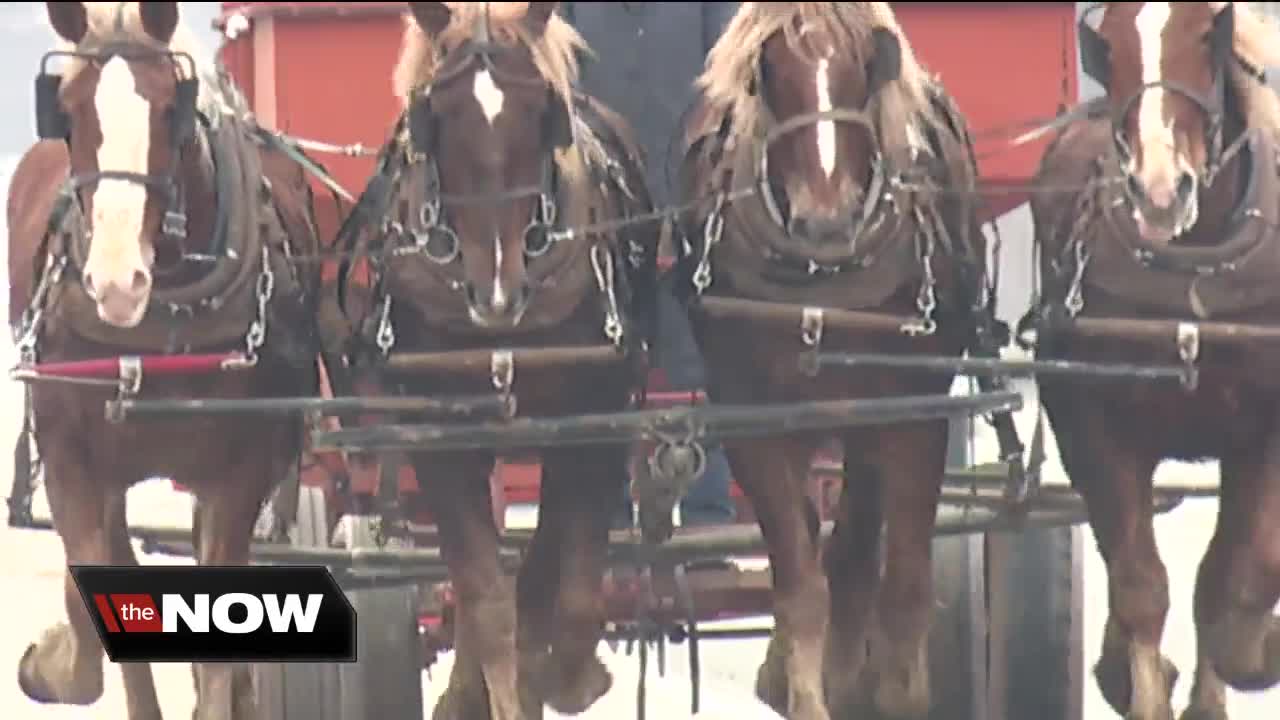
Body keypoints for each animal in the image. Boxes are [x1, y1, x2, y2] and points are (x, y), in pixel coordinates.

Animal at [7, 1, 325, 717]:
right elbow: (89, 626)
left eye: (170, 112)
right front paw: (51, 661)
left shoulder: (240, 471)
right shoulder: (72, 461)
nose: (117, 282)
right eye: (66, 109)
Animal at [330, 2, 660, 712]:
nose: (497, 292)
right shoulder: (441, 437)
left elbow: (565, 589)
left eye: (541, 110)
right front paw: (493, 694)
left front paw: (567, 678)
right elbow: (486, 600)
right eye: (434, 113)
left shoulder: (593, 421)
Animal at [675, 4, 1003, 717]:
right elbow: (801, 583)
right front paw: (802, 689)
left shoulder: (913, 415)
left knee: (856, 549)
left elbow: (901, 582)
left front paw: (890, 692)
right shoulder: (754, 419)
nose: (824, 221)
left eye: (863, 66)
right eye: (768, 71)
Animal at [1024, 4, 1280, 717]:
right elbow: (1141, 584)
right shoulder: (1092, 422)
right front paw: (1138, 680)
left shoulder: (1261, 433)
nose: (1161, 192)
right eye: (1107, 45)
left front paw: (1251, 652)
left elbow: (1241, 576)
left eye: (1209, 31)